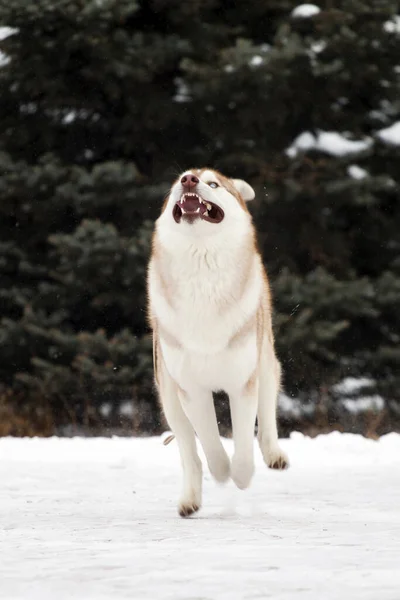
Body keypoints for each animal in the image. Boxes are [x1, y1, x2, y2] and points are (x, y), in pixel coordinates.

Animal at [147, 168, 288, 516]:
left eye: (213, 183)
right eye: (178, 182)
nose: (188, 179)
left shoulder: (242, 382)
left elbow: (243, 439)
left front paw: (241, 475)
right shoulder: (190, 388)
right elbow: (209, 442)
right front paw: (223, 472)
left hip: (265, 363)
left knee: (267, 414)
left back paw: (274, 455)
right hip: (168, 395)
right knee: (189, 451)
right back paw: (189, 501)